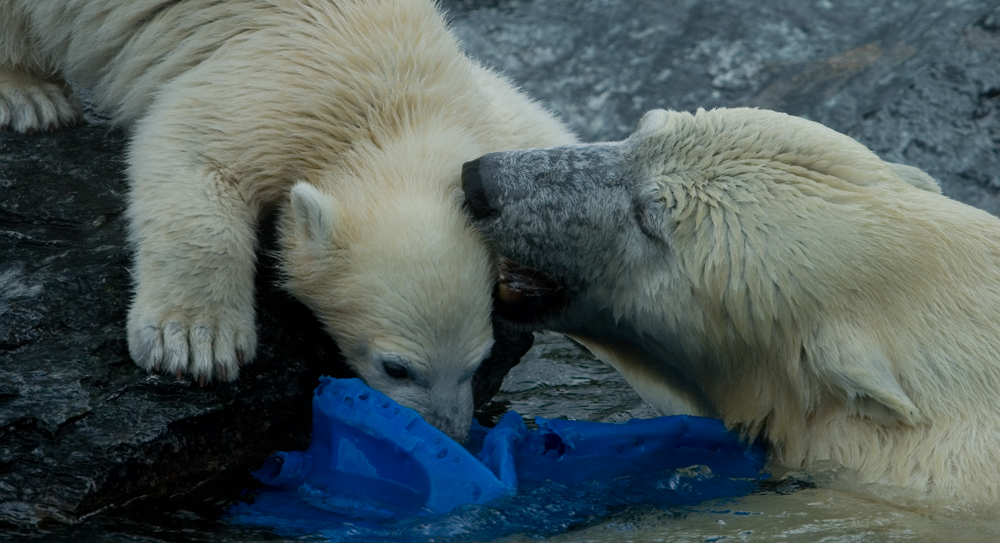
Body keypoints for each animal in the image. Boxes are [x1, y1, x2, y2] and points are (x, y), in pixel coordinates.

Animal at [0, 0, 576, 442]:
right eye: (396, 368)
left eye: (480, 362)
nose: (451, 434)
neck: (395, 102)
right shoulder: (277, 88)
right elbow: (194, 152)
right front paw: (192, 342)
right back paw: (31, 95)